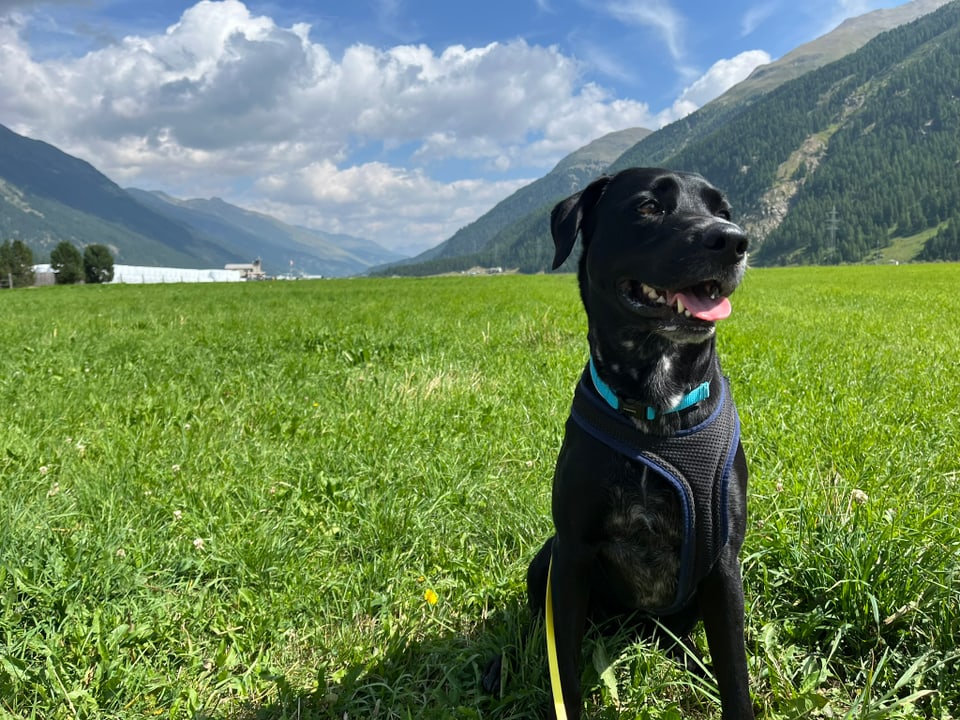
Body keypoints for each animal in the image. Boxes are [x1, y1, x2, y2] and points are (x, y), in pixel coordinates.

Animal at [524, 167, 752, 716]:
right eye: (648, 206)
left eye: (724, 211)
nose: (733, 241)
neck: (655, 411)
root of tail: (633, 624)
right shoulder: (571, 554)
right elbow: (564, 669)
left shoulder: (724, 567)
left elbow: (735, 676)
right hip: (544, 560)